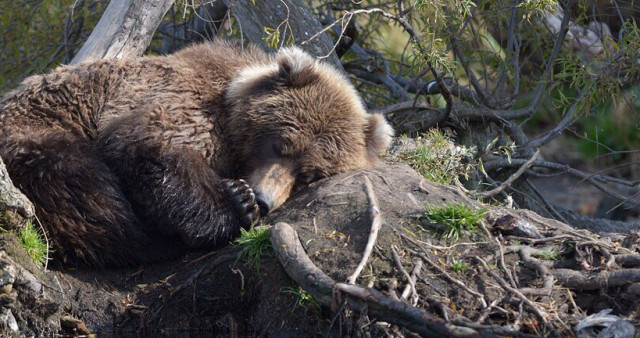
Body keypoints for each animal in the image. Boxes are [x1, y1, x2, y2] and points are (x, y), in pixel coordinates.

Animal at [0, 40, 392, 266]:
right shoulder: (177, 101)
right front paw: (236, 203)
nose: (264, 199)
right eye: (280, 144)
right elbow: (148, 147)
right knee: (83, 191)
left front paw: (242, 199)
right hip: (35, 133)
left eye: (309, 173)